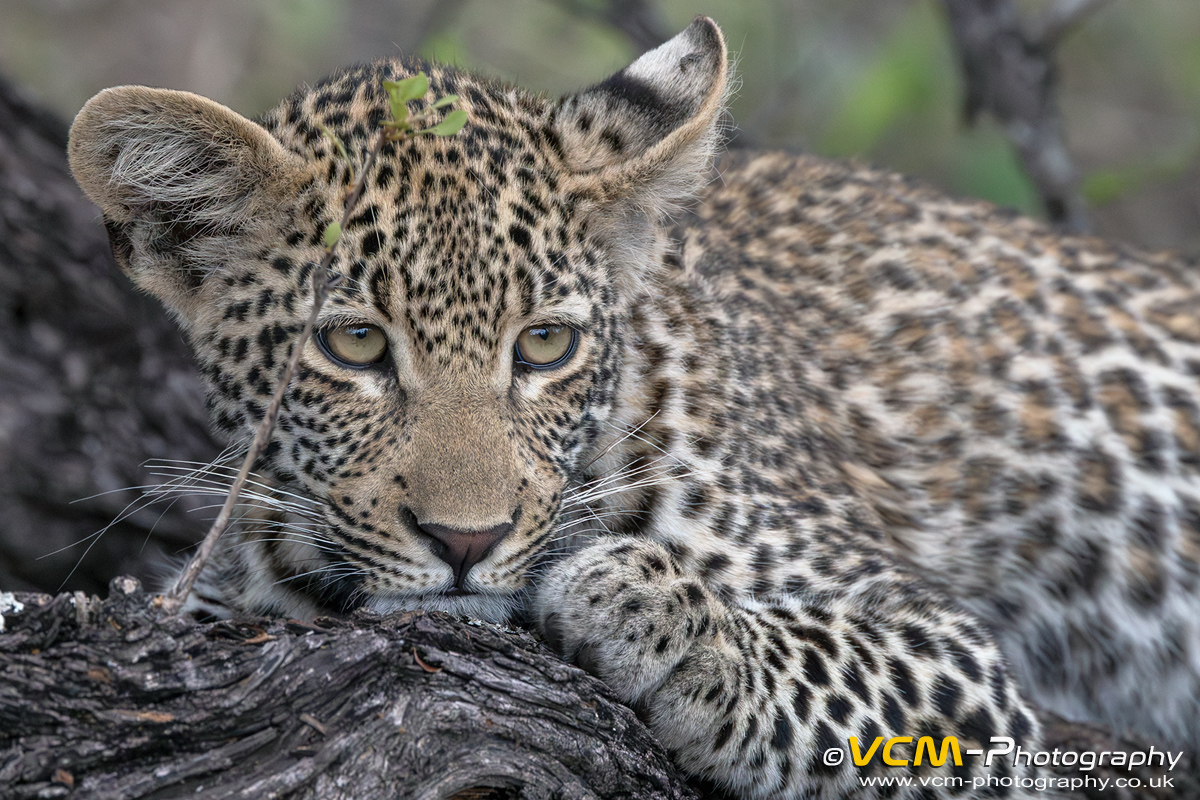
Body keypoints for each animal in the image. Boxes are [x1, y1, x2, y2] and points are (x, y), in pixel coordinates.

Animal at [66, 16, 1200, 799]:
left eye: (545, 345)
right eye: (353, 345)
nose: (466, 541)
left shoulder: (956, 658)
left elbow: (822, 659)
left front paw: (663, 616)